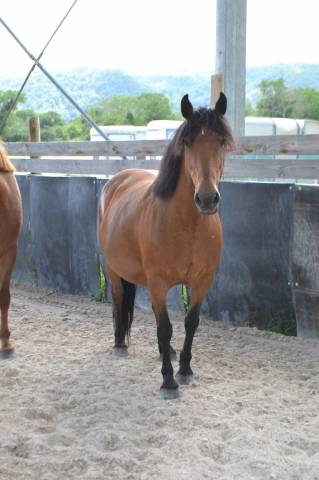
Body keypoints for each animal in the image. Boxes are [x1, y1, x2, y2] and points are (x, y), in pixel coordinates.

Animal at [100, 94, 235, 398]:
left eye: (222, 142)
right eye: (187, 142)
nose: (206, 199)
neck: (187, 227)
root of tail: (116, 181)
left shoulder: (202, 282)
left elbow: (189, 323)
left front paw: (184, 370)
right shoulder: (158, 281)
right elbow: (164, 327)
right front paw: (168, 381)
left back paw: (169, 352)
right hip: (115, 271)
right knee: (117, 300)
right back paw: (119, 344)